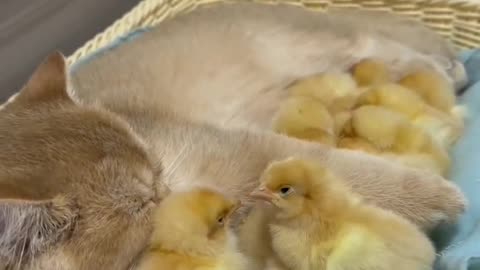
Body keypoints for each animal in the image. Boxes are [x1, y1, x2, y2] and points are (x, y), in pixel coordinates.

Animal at [0, 2, 464, 270]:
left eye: (154, 168)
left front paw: (436, 198)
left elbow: (348, 176)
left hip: (307, 46)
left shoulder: (243, 153)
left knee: (373, 39)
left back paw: (446, 67)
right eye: (140, 205)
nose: (166, 189)